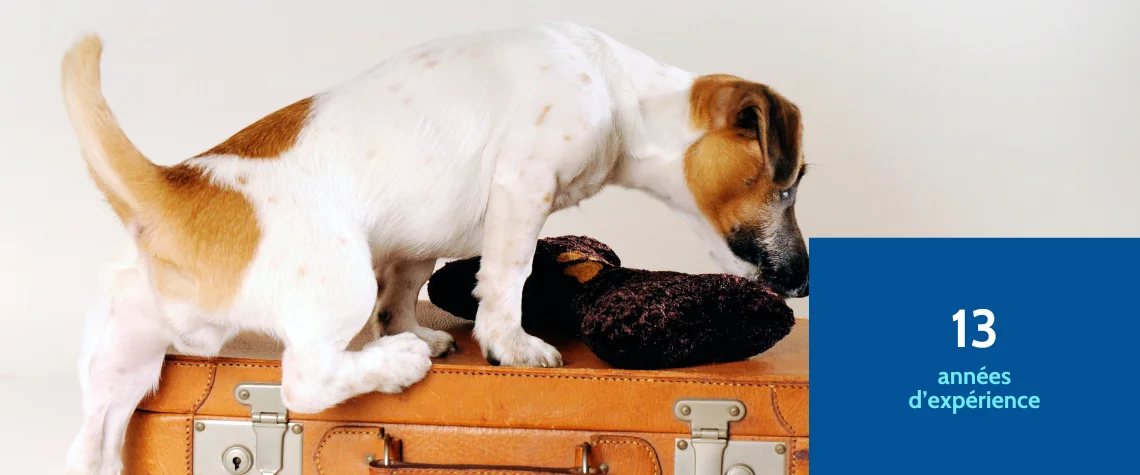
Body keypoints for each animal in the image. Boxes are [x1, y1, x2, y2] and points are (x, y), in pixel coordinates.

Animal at [61, 22, 808, 474]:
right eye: (790, 181)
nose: (804, 279)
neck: (622, 94)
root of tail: (174, 186)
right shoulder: (522, 188)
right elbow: (508, 279)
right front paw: (511, 345)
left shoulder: (420, 241)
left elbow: (404, 288)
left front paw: (417, 326)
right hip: (340, 278)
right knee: (306, 378)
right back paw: (393, 363)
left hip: (121, 368)